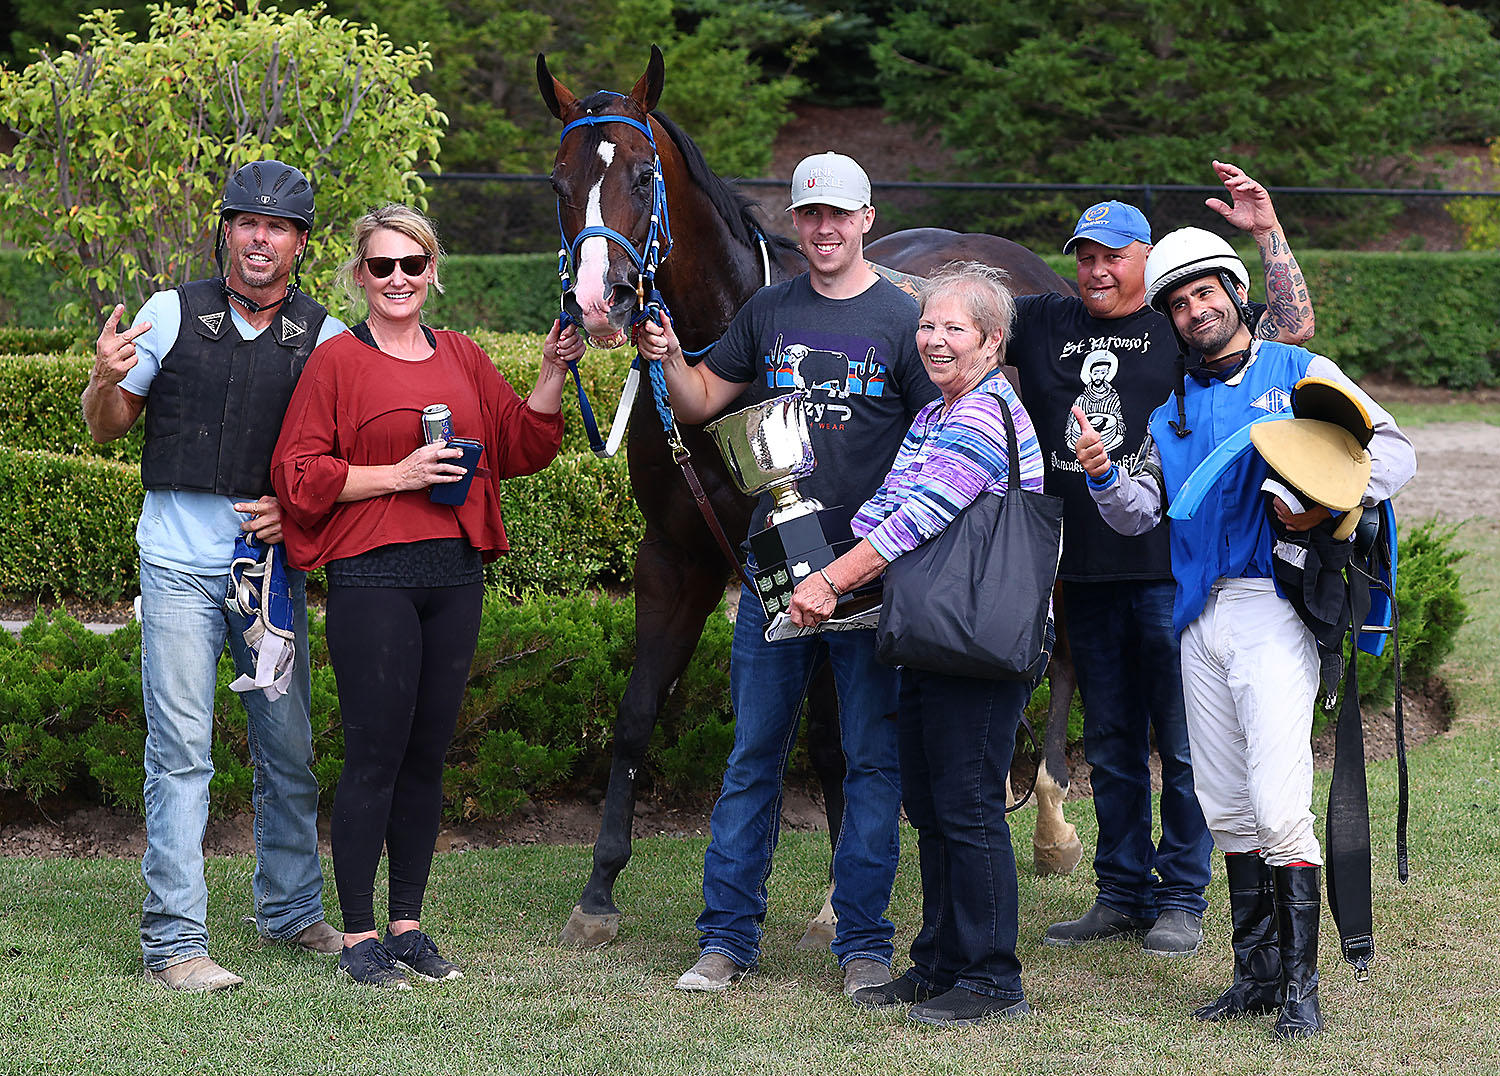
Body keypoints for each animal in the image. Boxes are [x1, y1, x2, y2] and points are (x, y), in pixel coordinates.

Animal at [546, 48, 1086, 948]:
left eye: (644, 173)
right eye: (559, 180)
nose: (599, 298)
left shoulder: (834, 572)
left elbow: (833, 739)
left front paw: (840, 894)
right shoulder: (676, 562)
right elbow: (636, 715)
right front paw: (597, 891)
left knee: (1067, 652)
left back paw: (1048, 824)